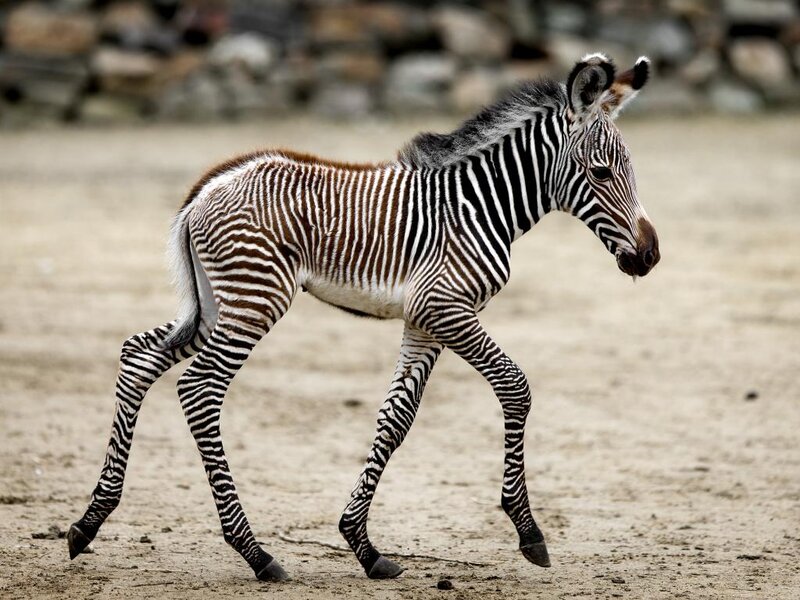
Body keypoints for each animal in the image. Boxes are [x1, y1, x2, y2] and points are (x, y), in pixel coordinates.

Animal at [68, 53, 659, 581]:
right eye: (601, 172)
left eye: (631, 171)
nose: (649, 257)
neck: (480, 206)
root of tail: (206, 189)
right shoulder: (447, 309)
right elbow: (515, 388)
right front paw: (528, 530)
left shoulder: (425, 320)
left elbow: (396, 419)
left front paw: (364, 545)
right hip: (255, 299)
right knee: (200, 389)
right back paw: (256, 554)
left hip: (216, 304)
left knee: (138, 355)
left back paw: (88, 523)